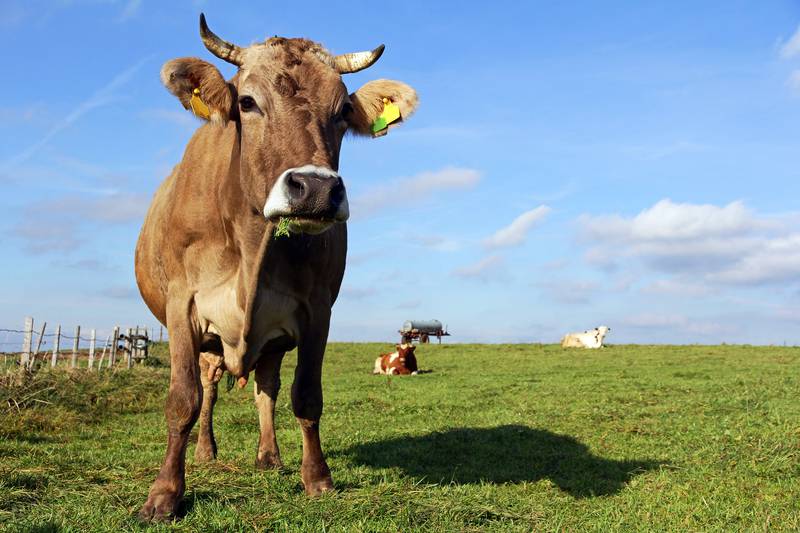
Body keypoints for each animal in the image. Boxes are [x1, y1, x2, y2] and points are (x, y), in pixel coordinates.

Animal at [133, 14, 418, 520]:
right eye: (247, 102)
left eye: (343, 110)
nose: (317, 190)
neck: (251, 244)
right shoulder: (182, 306)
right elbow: (183, 400)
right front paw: (164, 494)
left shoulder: (317, 310)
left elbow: (305, 396)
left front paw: (318, 479)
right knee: (209, 387)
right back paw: (207, 451)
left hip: (271, 338)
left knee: (266, 385)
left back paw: (269, 456)